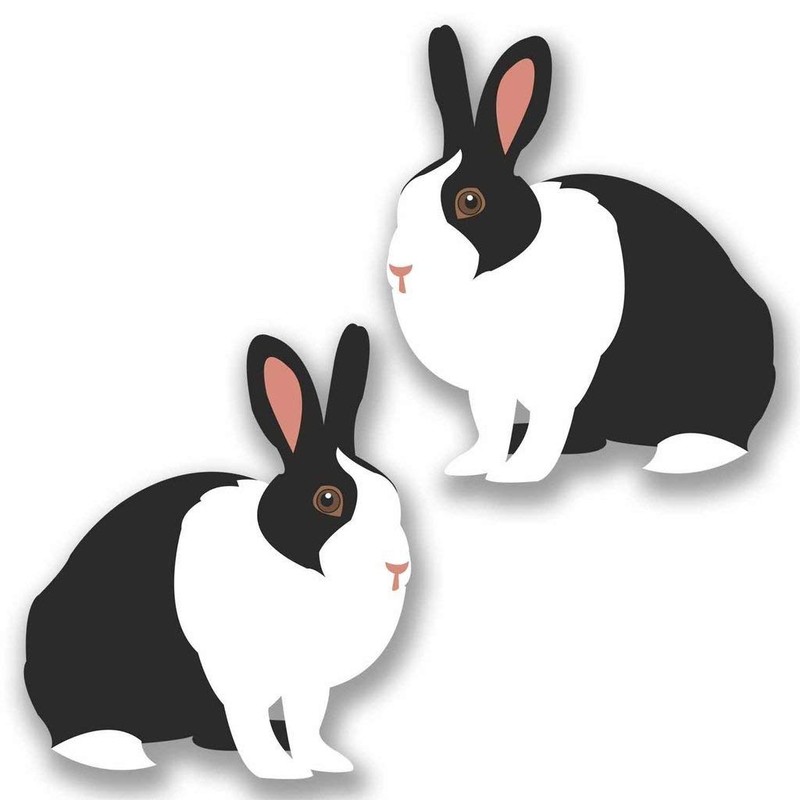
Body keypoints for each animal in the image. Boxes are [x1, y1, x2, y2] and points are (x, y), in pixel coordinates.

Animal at [24, 325, 411, 780]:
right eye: (328, 500)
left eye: (392, 490)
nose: (397, 567)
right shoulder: (238, 675)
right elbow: (252, 723)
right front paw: (280, 772)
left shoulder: (308, 683)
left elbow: (307, 722)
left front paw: (326, 762)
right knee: (72, 730)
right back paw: (117, 752)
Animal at [386, 26, 775, 483]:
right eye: (404, 193)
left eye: (470, 202)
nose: (400, 270)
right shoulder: (490, 385)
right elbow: (490, 425)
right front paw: (471, 465)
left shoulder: (559, 377)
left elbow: (546, 426)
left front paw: (518, 475)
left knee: (725, 434)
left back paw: (682, 455)